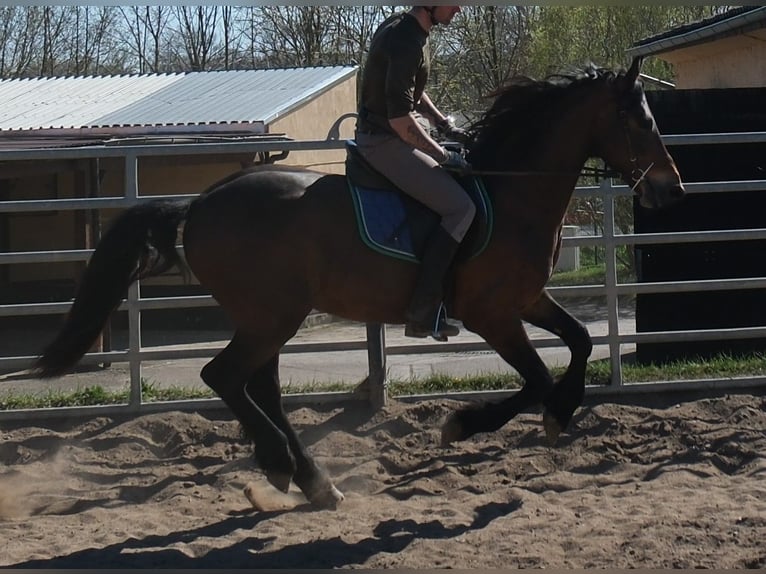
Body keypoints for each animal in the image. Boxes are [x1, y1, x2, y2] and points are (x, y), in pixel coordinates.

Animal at [34, 57, 684, 509]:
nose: (671, 189)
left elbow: (582, 341)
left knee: (258, 385)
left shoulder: (527, 300)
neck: (509, 193)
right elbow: (539, 377)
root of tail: (200, 203)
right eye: (639, 121)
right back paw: (287, 467)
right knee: (223, 377)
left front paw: (560, 414)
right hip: (273, 315)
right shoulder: (493, 315)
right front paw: (466, 424)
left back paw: (307, 479)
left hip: (268, 317)